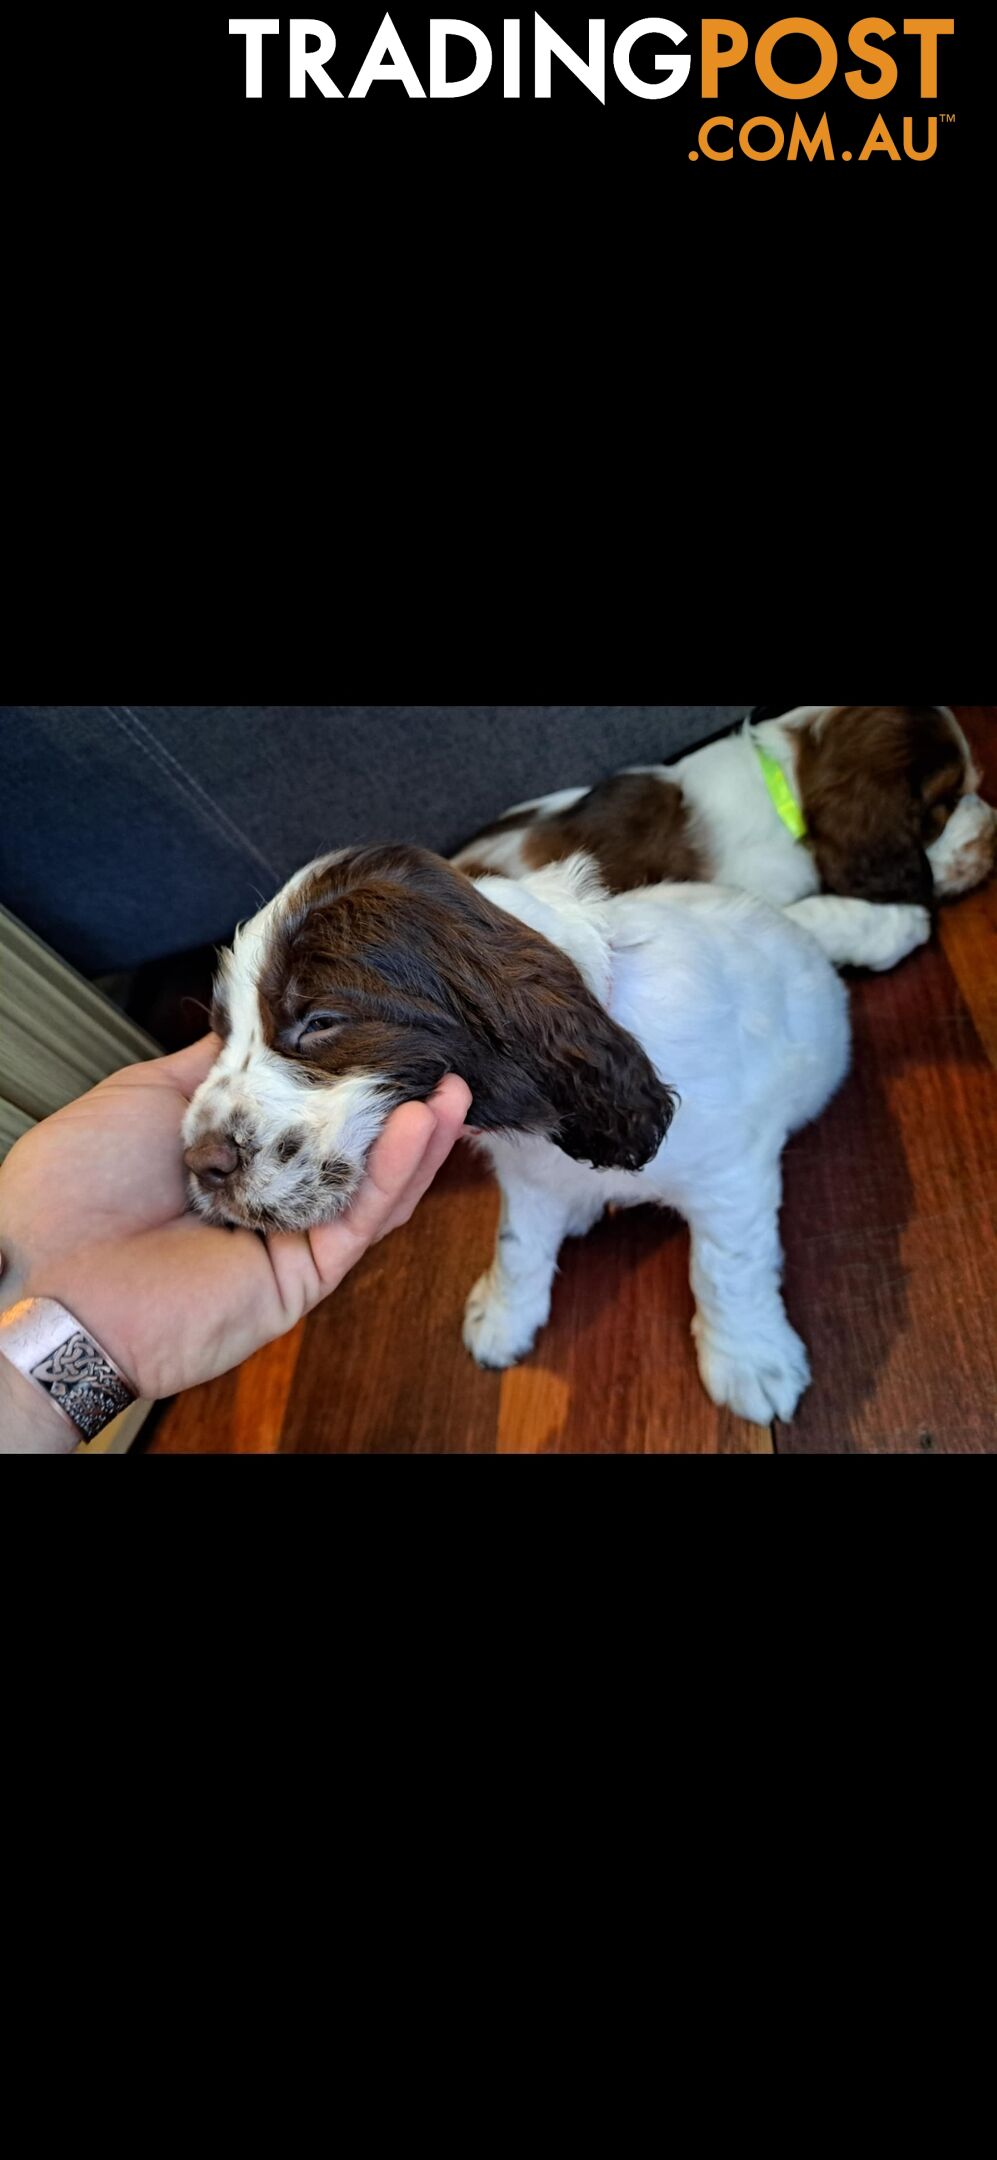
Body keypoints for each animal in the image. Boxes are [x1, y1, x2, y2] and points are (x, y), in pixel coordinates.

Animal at [181, 846, 850, 1434]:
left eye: (320, 1021)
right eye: (221, 1032)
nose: (198, 1163)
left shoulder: (729, 1174)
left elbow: (725, 1269)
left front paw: (751, 1361)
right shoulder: (527, 1179)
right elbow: (518, 1245)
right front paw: (502, 1319)